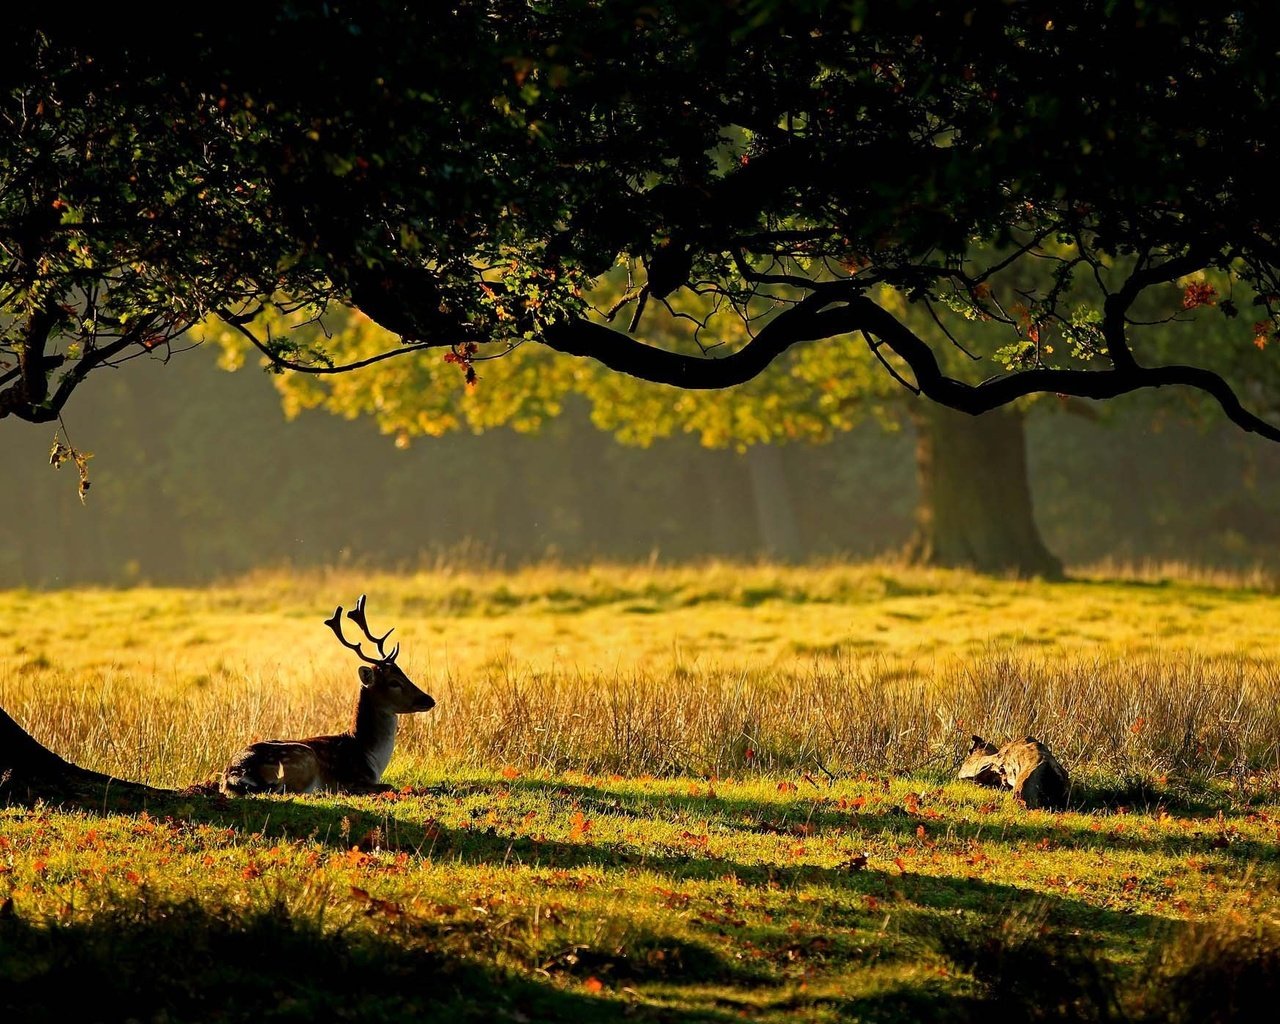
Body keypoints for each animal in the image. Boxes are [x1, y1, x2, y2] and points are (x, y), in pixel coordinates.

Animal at [220, 591, 435, 798]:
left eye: (404, 673)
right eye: (394, 682)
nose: (429, 699)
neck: (369, 757)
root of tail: (234, 775)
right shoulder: (351, 779)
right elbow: (388, 785)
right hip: (303, 758)